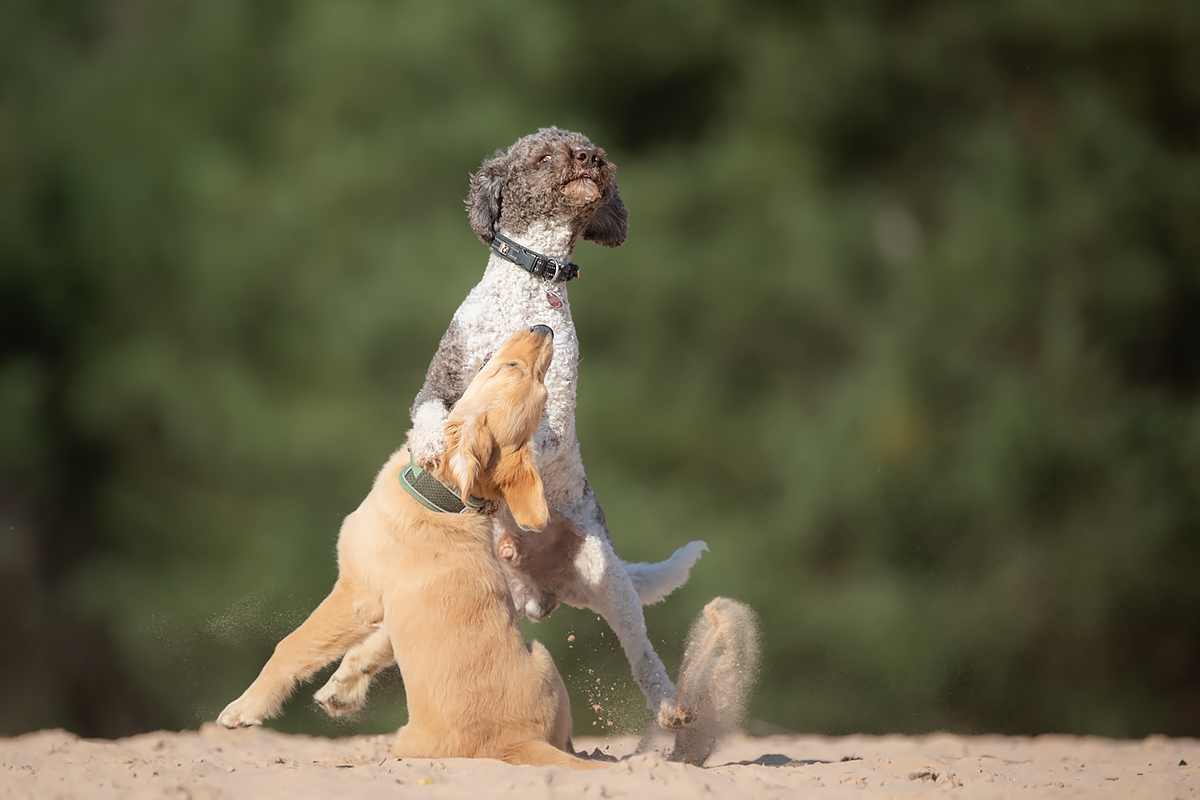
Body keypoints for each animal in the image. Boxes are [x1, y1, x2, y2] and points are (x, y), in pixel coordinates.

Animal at [216, 326, 604, 767]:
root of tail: (518, 742)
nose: (545, 329)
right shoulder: (388, 606)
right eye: (533, 383)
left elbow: (292, 646)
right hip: (543, 660)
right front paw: (341, 689)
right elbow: (373, 647)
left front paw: (245, 709)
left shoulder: (357, 594)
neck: (441, 499)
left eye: (512, 367)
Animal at [314, 125, 705, 724]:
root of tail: (541, 586)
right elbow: (432, 414)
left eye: (589, 146)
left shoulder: (557, 406)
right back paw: (342, 686)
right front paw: (433, 443)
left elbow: (535, 436)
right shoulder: (439, 381)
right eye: (544, 156)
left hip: (609, 580)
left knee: (642, 652)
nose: (592, 158)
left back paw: (668, 707)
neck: (529, 286)